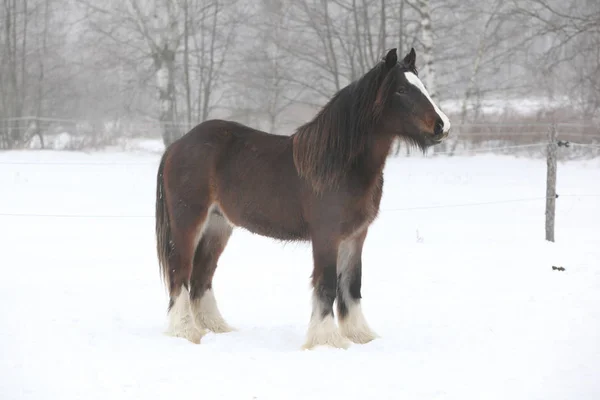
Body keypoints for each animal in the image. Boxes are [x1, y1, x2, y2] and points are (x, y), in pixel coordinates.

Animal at [155, 47, 450, 350]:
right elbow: (327, 285)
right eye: (401, 90)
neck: (338, 163)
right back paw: (186, 332)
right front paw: (327, 340)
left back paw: (216, 328)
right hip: (189, 224)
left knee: (201, 277)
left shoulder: (356, 236)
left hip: (218, 226)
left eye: (421, 86)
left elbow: (352, 284)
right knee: (181, 274)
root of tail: (177, 145)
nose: (442, 126)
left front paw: (360, 335)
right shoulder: (326, 236)